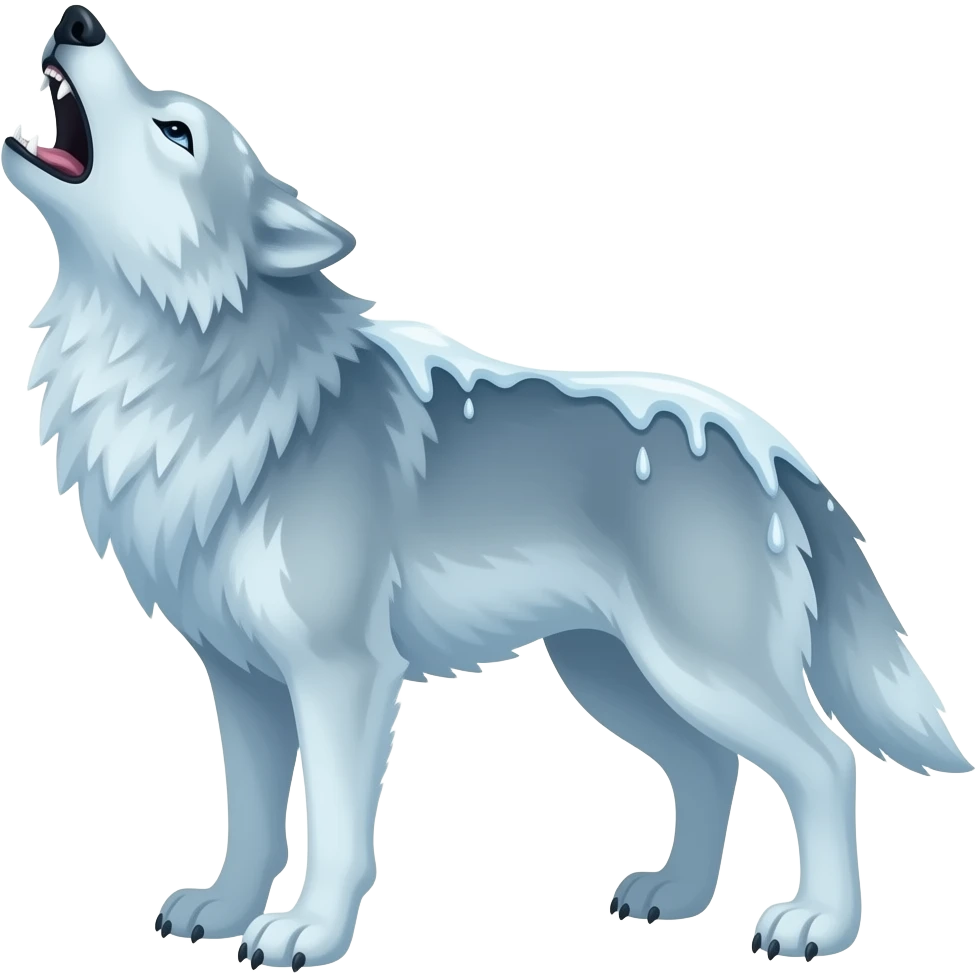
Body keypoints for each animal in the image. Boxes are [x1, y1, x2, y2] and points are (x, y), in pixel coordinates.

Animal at [5, 5, 972, 970]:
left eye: (177, 132)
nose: (78, 20)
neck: (188, 368)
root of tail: (773, 447)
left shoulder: (343, 673)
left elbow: (339, 830)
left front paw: (309, 932)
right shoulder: (239, 678)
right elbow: (250, 819)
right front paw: (226, 909)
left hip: (697, 673)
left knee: (827, 765)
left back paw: (818, 924)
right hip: (615, 677)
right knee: (711, 767)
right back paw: (677, 896)